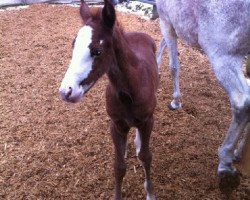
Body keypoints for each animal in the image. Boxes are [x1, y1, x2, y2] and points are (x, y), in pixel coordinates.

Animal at [59, 0, 158, 199]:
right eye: (73, 45)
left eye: (97, 51)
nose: (66, 91)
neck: (130, 91)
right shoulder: (116, 124)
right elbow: (119, 166)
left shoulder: (147, 120)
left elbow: (146, 157)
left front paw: (150, 193)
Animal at [156, 0, 250, 194]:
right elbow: (162, 45)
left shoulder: (167, 22)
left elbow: (174, 66)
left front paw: (176, 101)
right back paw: (238, 152)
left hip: (223, 57)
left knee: (242, 102)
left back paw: (225, 164)